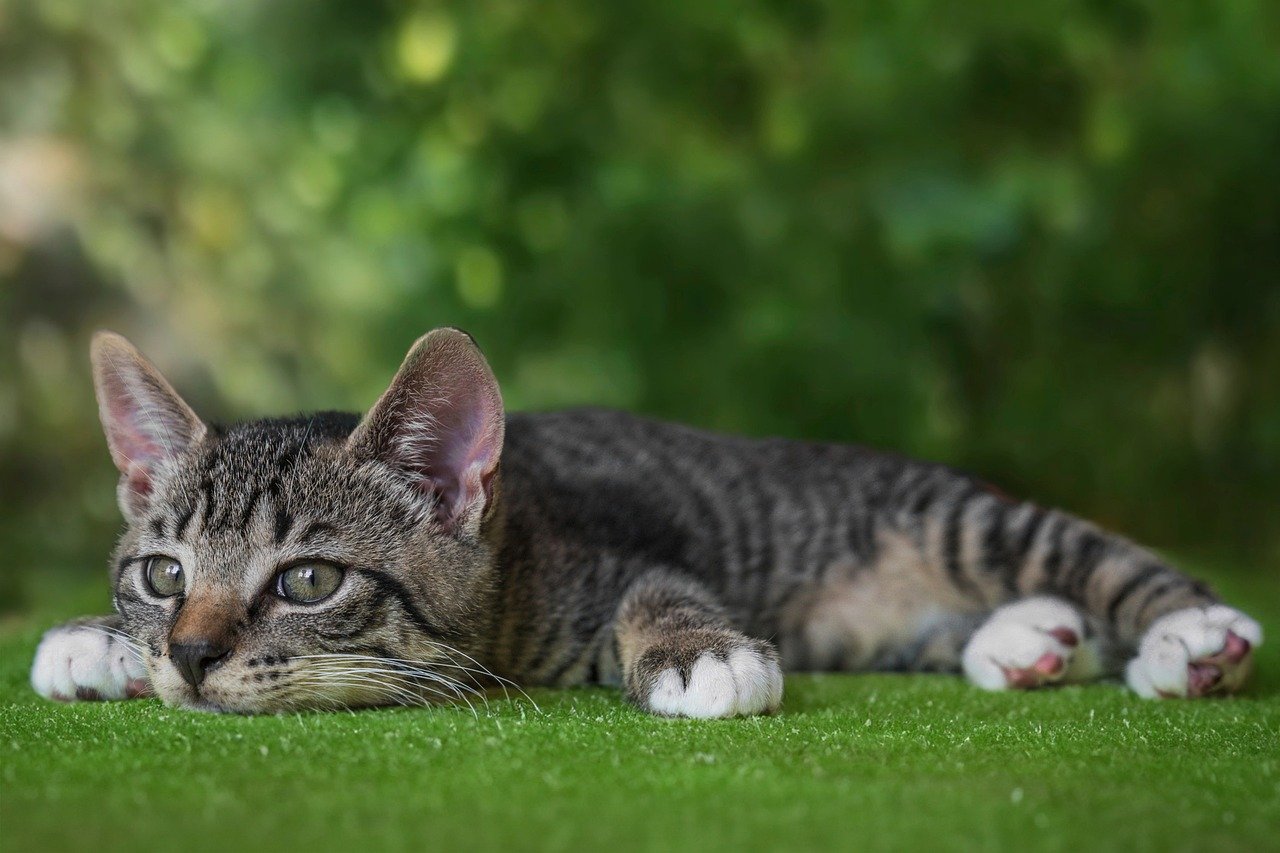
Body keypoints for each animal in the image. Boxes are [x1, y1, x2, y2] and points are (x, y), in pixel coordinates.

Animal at [27, 327, 1259, 712]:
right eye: (163, 574)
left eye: (308, 581)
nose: (189, 657)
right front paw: (94, 641)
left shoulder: (622, 550)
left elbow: (662, 587)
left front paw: (696, 651)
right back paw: (1032, 638)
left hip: (964, 522)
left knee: (1092, 555)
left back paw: (1186, 635)